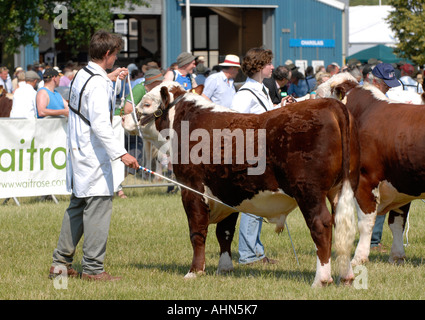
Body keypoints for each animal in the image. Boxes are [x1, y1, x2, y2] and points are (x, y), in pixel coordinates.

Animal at [121, 81, 358, 286]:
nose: (123, 117)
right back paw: (346, 276)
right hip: (337, 191)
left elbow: (197, 232)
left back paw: (322, 279)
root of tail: (330, 104)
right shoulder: (228, 193)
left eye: (147, 103)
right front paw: (224, 268)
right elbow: (225, 233)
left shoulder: (192, 189)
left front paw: (195, 271)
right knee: (342, 227)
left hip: (309, 192)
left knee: (321, 225)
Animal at [318, 72, 424, 264]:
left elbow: (365, 223)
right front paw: (397, 256)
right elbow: (397, 222)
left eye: (320, 96)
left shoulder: (365, 180)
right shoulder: (402, 183)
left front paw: (358, 258)